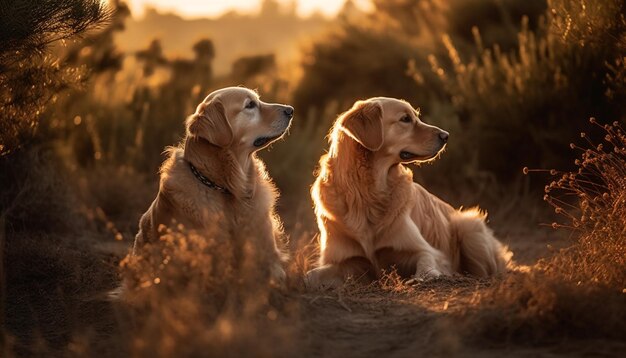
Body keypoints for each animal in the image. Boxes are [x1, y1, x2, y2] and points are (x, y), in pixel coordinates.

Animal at [304, 96, 510, 290]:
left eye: (415, 116)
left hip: (469, 227)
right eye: (405, 119)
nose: (446, 135)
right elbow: (309, 276)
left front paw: (423, 278)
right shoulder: (350, 261)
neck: (366, 192)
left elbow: (426, 261)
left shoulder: (424, 250)